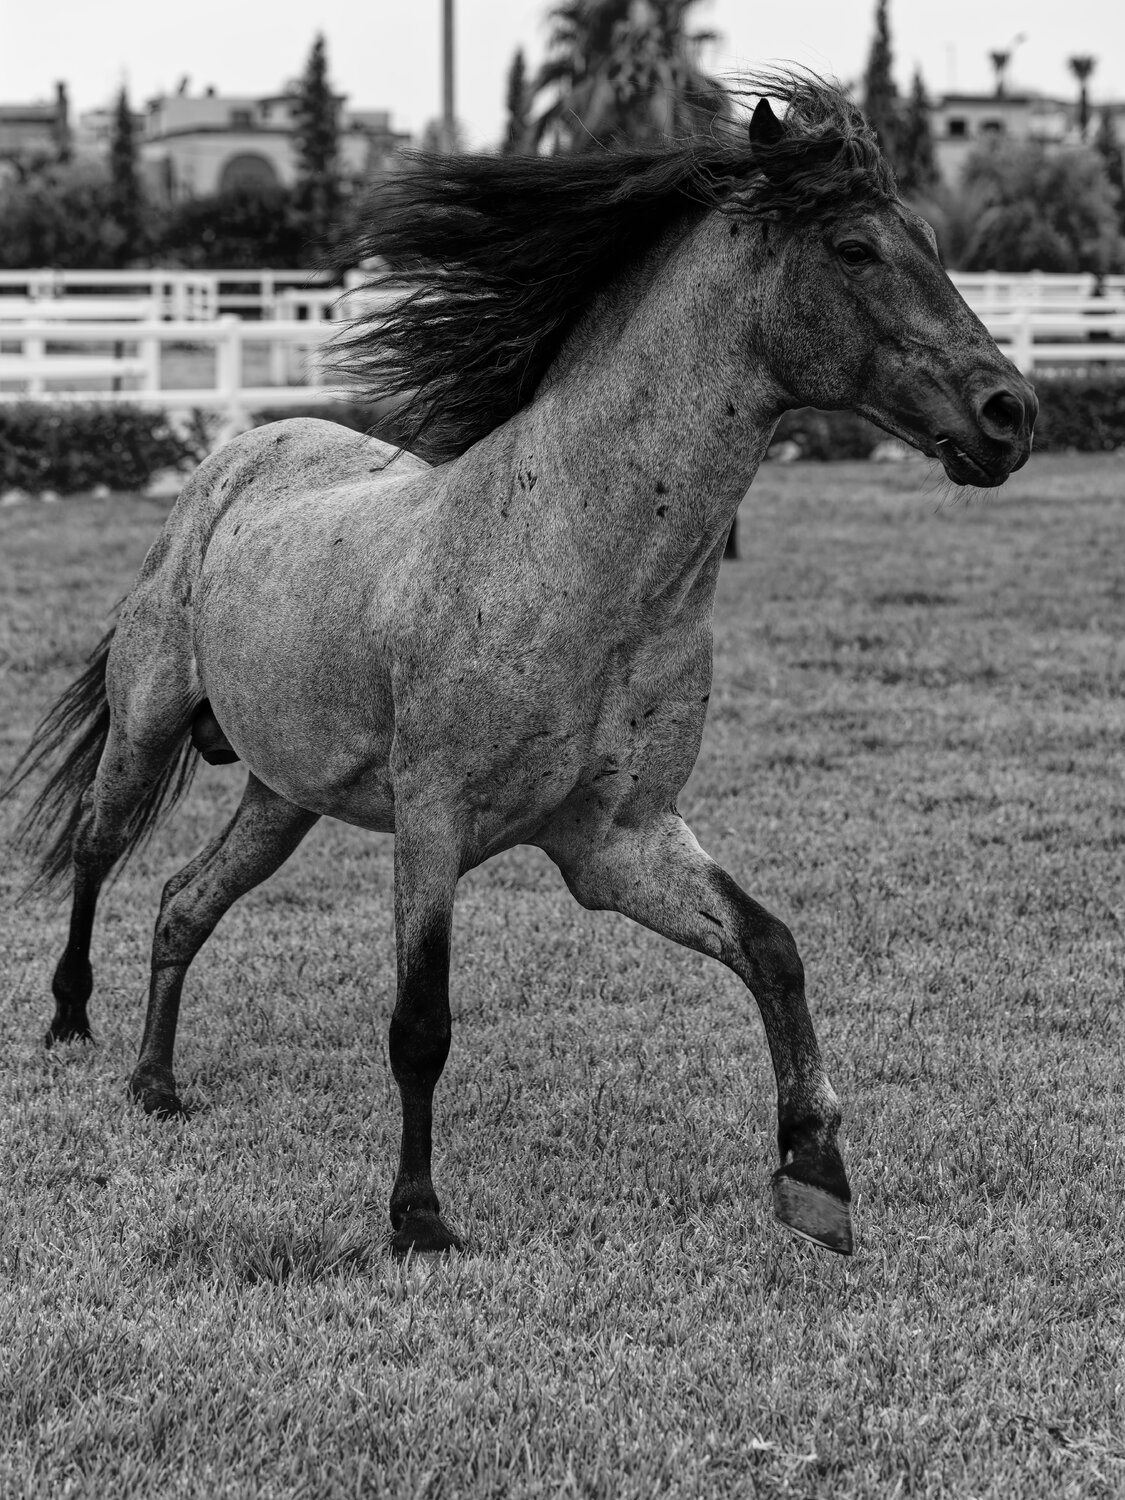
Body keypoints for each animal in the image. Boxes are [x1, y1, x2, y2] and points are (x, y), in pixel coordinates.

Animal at [4, 75, 1036, 1259]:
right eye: (856, 247)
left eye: (929, 241)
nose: (1011, 414)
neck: (572, 557)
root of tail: (236, 452)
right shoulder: (434, 821)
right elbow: (420, 1023)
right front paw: (417, 1217)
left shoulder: (615, 841)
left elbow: (769, 946)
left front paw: (815, 1173)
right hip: (147, 724)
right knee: (96, 847)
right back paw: (71, 1020)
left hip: (281, 796)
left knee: (183, 901)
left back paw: (156, 1084)